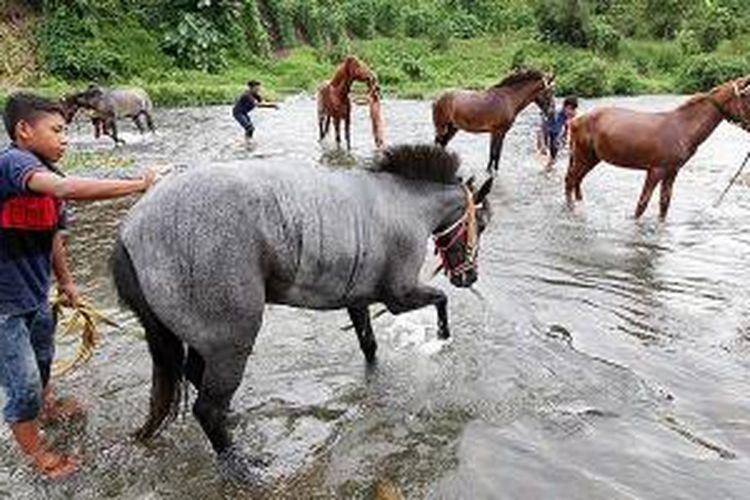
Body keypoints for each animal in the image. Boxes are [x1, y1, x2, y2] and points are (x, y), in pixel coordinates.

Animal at [108, 144, 490, 476]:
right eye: (482, 224)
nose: (469, 276)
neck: (403, 203)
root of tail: (128, 233)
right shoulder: (399, 297)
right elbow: (441, 300)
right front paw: (442, 341)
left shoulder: (357, 300)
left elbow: (369, 345)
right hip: (230, 344)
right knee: (208, 410)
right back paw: (241, 467)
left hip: (205, 342)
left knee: (197, 379)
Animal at [568, 74, 750, 219]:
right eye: (747, 97)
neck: (681, 128)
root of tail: (575, 120)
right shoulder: (655, 171)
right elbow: (642, 204)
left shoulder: (672, 172)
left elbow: (664, 203)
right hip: (583, 156)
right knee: (570, 181)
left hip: (592, 158)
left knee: (576, 182)